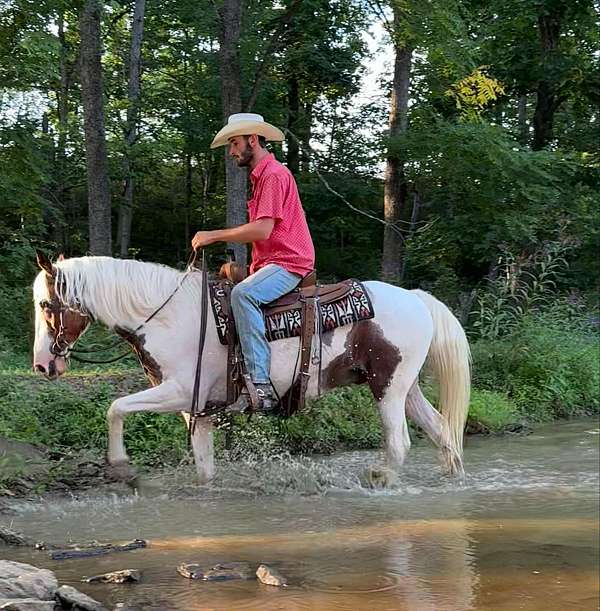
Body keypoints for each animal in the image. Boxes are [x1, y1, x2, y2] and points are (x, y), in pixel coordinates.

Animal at [32, 253, 472, 488]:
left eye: (45, 304)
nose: (42, 364)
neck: (167, 317)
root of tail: (415, 298)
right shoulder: (195, 410)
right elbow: (204, 466)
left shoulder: (180, 391)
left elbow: (116, 408)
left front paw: (122, 464)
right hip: (406, 387)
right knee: (440, 429)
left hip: (388, 388)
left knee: (400, 443)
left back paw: (379, 479)